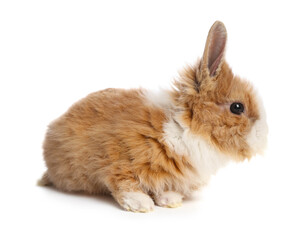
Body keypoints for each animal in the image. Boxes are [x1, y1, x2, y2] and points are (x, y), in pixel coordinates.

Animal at [40, 20, 268, 212]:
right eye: (237, 107)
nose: (263, 136)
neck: (184, 128)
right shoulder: (113, 154)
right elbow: (122, 181)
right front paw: (141, 204)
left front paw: (170, 199)